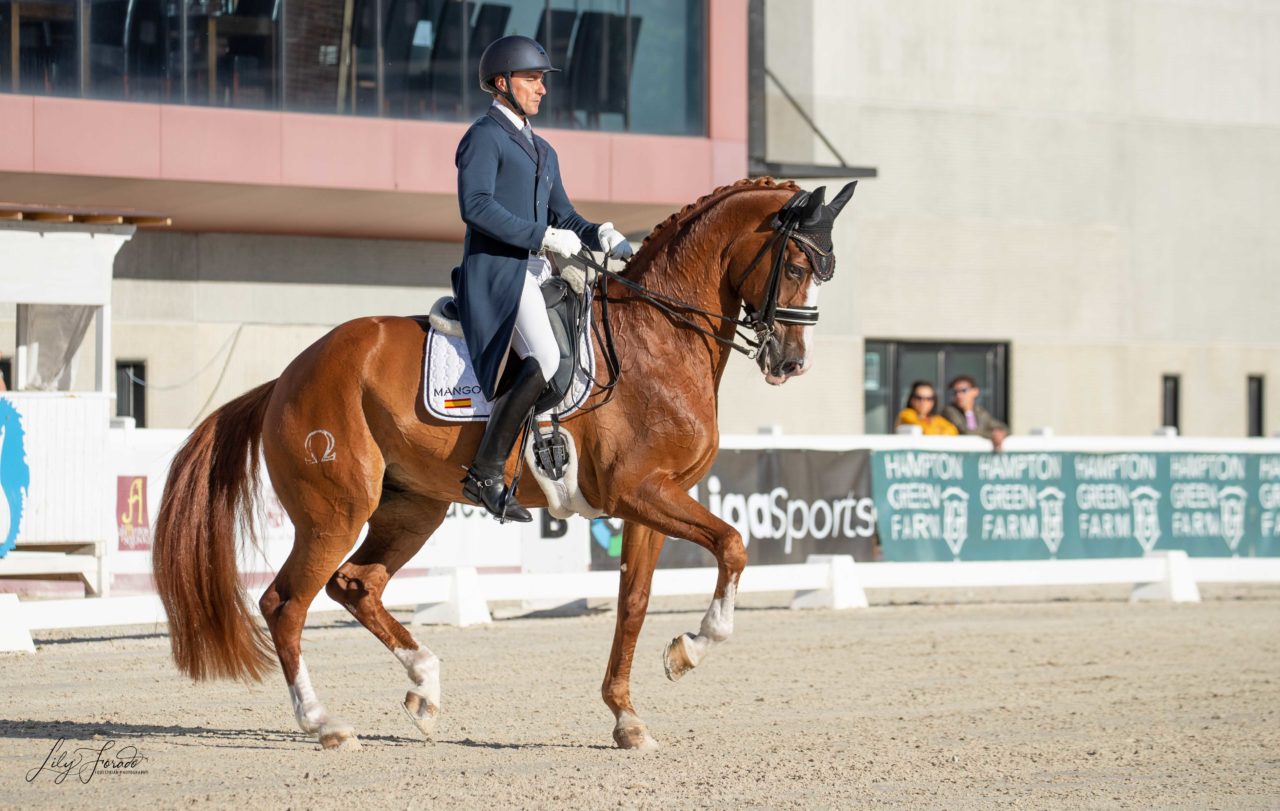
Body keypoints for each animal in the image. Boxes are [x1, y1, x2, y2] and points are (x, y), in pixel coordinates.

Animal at [152, 173, 860, 747]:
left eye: (824, 270)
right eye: (796, 266)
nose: (790, 363)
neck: (658, 337)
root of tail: (288, 375)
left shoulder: (651, 503)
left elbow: (633, 603)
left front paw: (627, 717)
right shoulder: (640, 491)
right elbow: (734, 545)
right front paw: (690, 649)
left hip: (413, 507)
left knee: (356, 585)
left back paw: (425, 689)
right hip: (336, 510)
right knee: (285, 603)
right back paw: (324, 723)